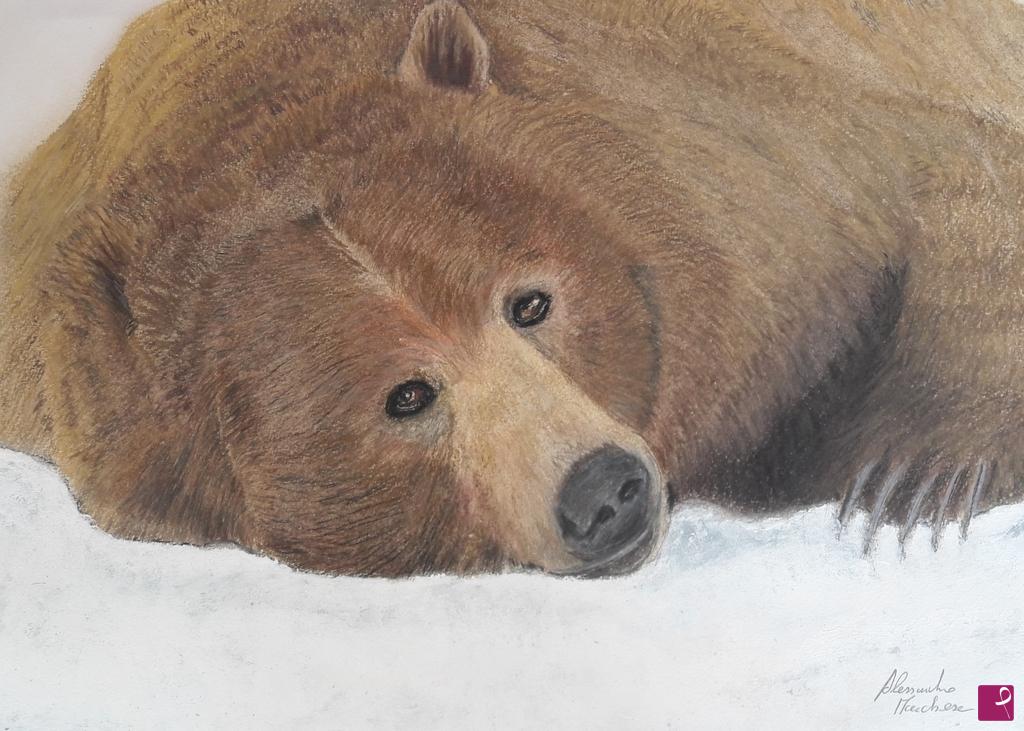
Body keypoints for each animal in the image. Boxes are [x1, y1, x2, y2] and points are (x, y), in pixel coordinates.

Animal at [2, 0, 1023, 577]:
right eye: (407, 395)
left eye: (531, 302)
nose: (603, 489)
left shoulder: (750, 181)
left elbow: (951, 168)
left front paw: (915, 474)